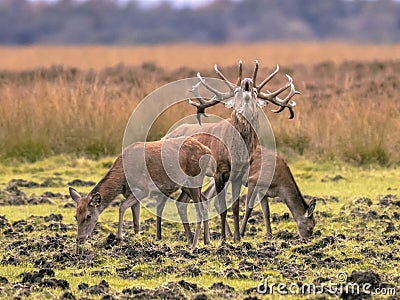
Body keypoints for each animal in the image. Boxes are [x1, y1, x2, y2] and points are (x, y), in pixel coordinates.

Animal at [68, 137, 216, 248]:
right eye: (75, 216)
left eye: (88, 216)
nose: (80, 238)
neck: (123, 178)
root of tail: (208, 150)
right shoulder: (130, 193)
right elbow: (136, 221)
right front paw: (136, 240)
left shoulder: (143, 189)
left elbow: (122, 206)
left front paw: (119, 238)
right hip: (186, 185)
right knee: (202, 201)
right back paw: (205, 241)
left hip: (194, 180)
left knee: (200, 208)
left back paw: (195, 244)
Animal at [164, 59, 298, 243]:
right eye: (236, 91)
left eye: (255, 91)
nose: (247, 82)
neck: (236, 153)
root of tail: (166, 135)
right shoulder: (219, 172)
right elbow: (221, 206)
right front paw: (222, 238)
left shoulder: (238, 174)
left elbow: (235, 206)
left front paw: (237, 237)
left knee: (181, 202)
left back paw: (191, 238)